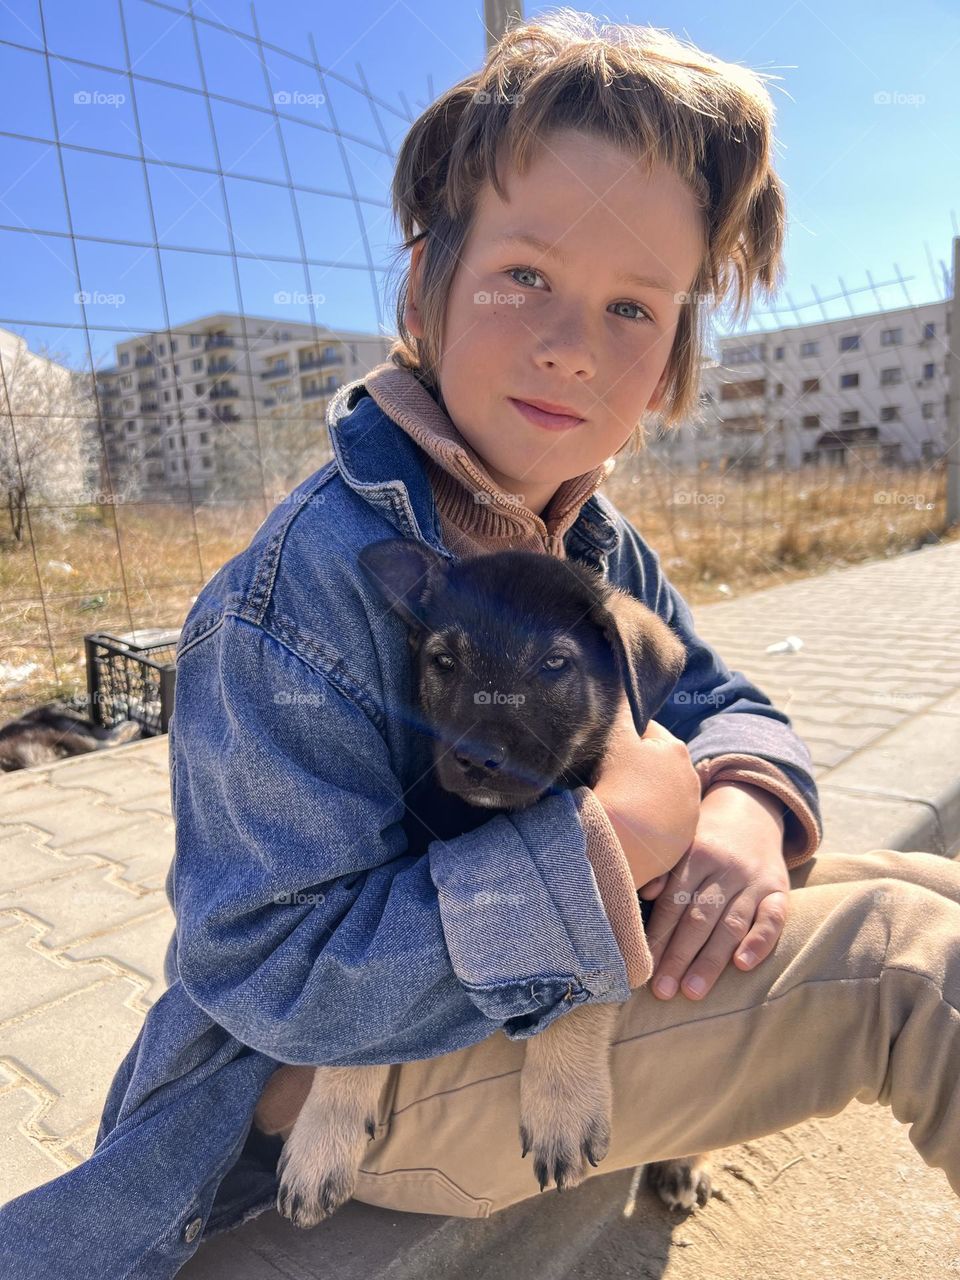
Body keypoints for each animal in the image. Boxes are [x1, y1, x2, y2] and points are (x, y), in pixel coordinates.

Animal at [256, 537, 716, 1218]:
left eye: (555, 663)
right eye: (444, 661)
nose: (476, 759)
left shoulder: (626, 894)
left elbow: (585, 987)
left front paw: (562, 1104)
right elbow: (354, 1036)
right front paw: (323, 1137)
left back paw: (690, 1159)